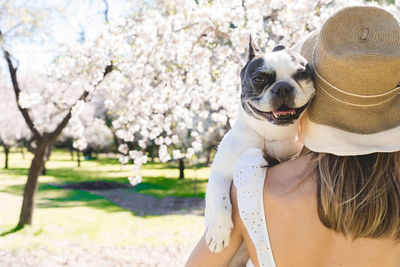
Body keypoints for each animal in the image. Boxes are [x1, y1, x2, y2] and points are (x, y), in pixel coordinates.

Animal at [205, 36, 314, 255]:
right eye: (259, 79)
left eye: (301, 74)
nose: (283, 86)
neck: (273, 134)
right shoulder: (219, 171)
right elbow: (220, 200)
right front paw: (219, 232)